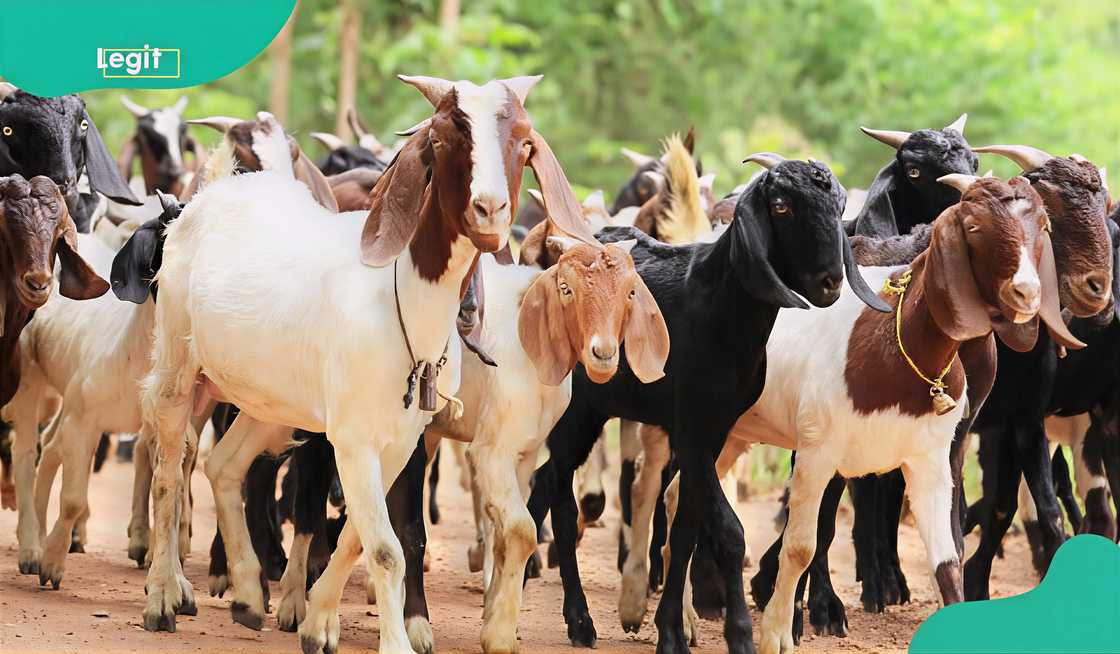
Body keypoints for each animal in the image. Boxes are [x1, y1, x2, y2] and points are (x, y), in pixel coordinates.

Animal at [526, 151, 889, 653]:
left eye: (838, 206)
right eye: (780, 206)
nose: (830, 281)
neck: (718, 308)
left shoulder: (716, 429)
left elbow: (687, 527)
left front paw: (672, 631)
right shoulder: (692, 430)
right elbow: (728, 532)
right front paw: (737, 634)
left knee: (548, 481)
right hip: (577, 410)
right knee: (562, 498)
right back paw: (579, 621)